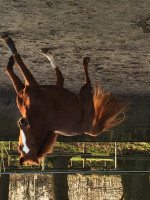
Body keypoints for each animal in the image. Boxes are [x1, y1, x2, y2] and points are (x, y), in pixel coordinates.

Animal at [1, 34, 128, 166]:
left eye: (32, 144)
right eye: (20, 147)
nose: (22, 122)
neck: (38, 116)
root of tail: (88, 128)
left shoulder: (32, 86)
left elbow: (18, 62)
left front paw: (8, 42)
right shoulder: (23, 90)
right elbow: (11, 69)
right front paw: (9, 55)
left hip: (85, 92)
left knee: (82, 81)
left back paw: (82, 60)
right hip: (75, 92)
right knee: (62, 76)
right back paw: (51, 54)